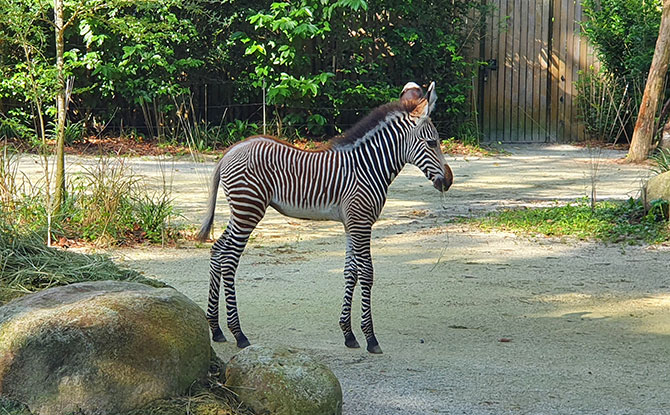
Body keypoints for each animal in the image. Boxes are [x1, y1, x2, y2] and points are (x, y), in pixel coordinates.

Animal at [197, 81, 454, 354]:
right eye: (432, 143)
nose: (448, 181)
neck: (368, 167)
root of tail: (229, 152)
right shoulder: (362, 222)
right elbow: (367, 273)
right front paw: (371, 338)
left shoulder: (351, 224)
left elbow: (351, 271)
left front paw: (349, 334)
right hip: (248, 209)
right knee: (229, 260)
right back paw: (238, 333)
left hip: (240, 211)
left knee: (217, 251)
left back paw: (216, 329)